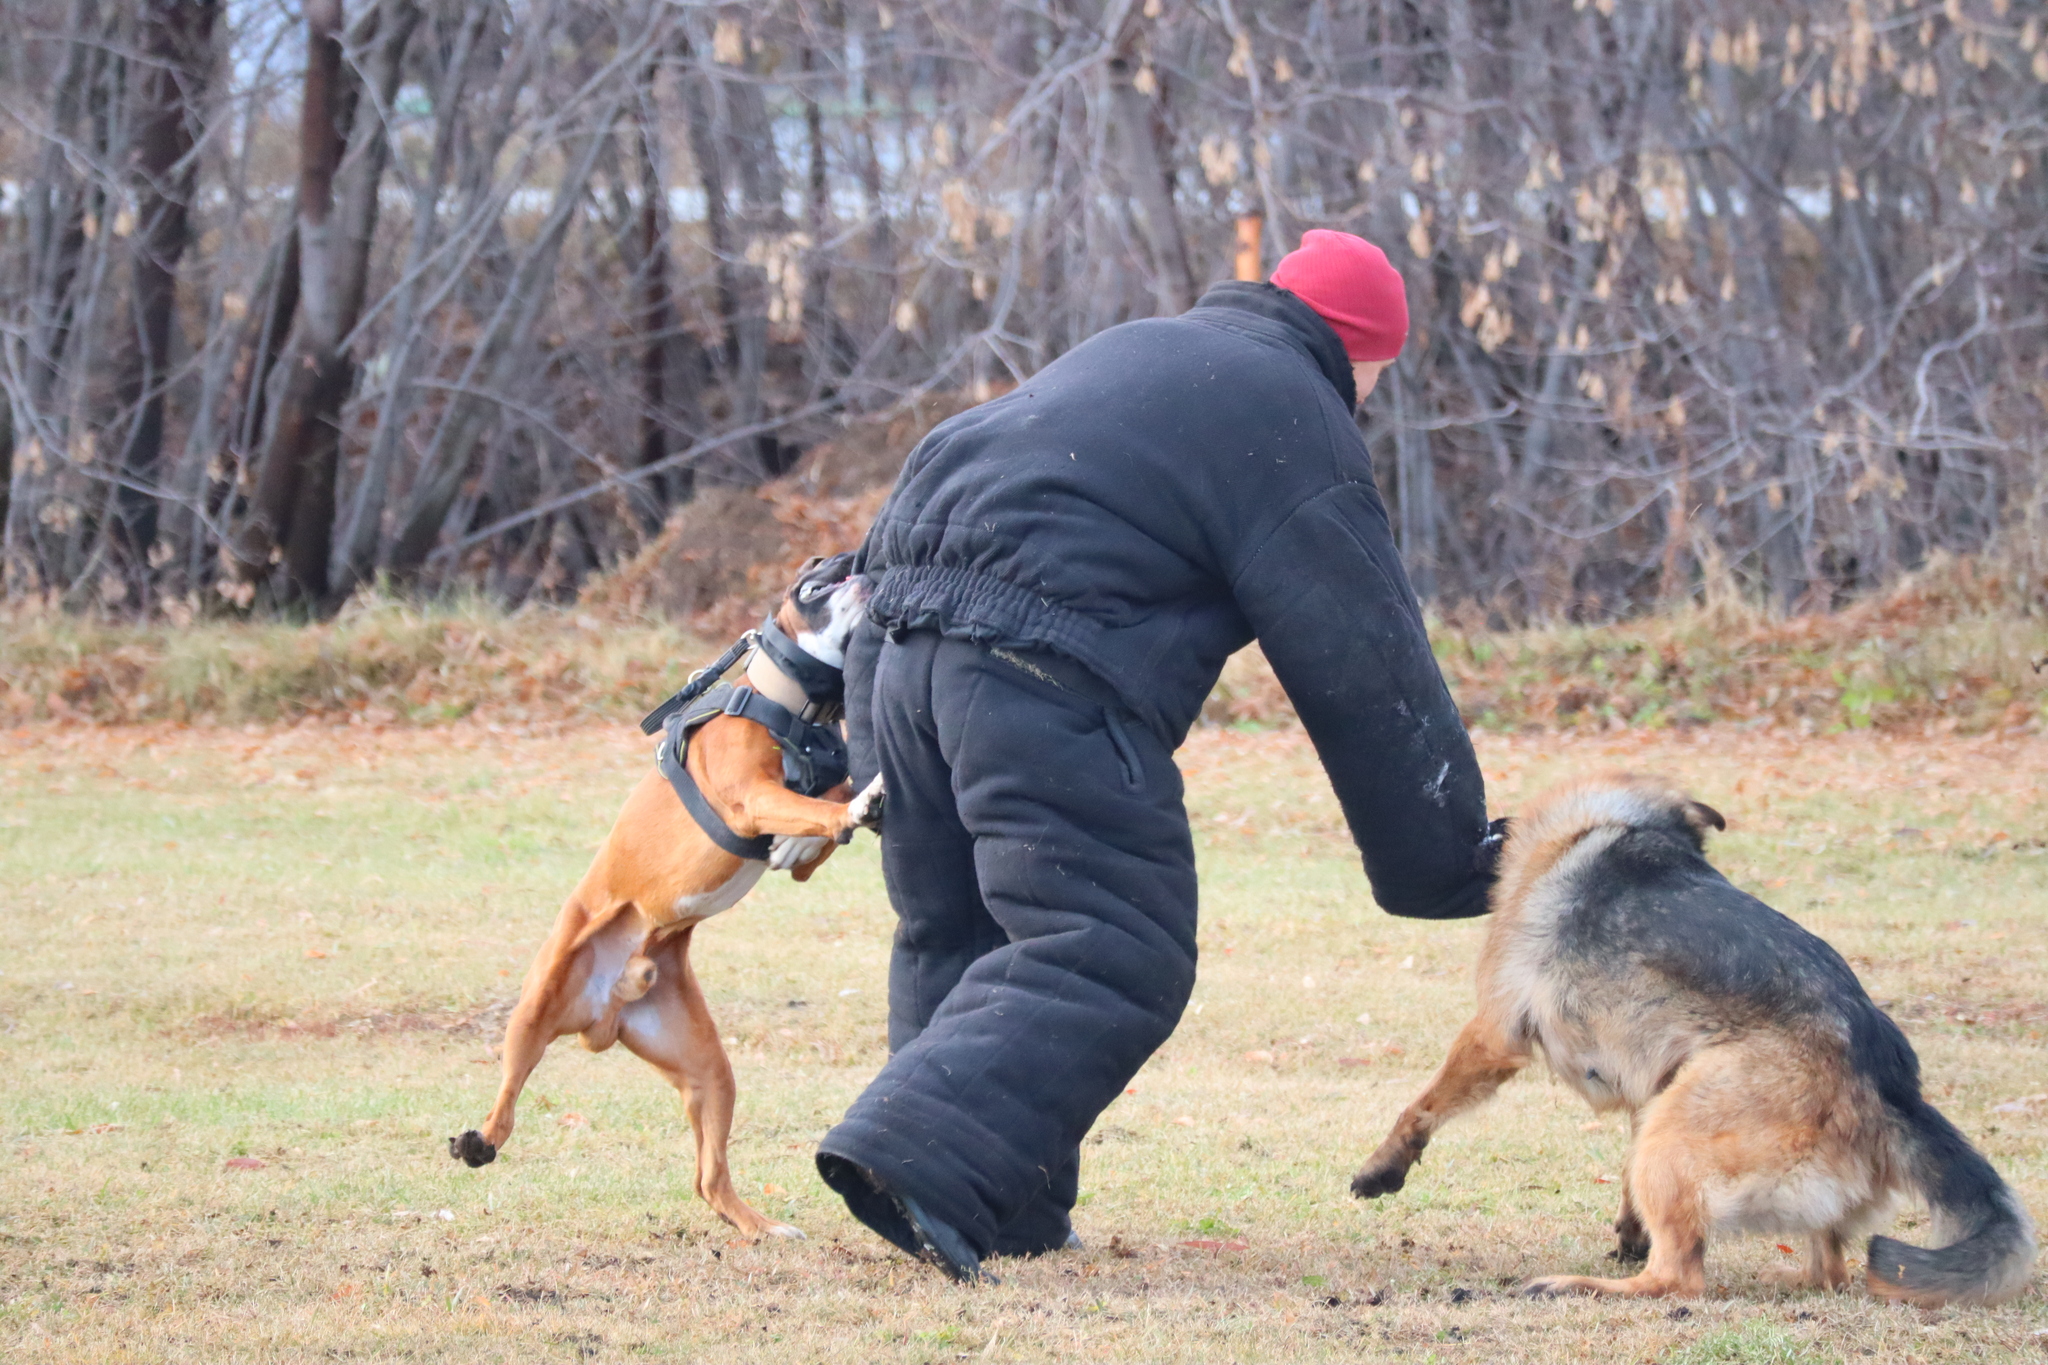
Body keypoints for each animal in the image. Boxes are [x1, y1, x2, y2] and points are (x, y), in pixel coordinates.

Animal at [450, 556, 880, 1236]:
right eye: (815, 572)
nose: (843, 557)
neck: (795, 707)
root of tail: (606, 1010)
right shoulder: (750, 796)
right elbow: (813, 805)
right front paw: (849, 810)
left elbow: (819, 813)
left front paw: (807, 836)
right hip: (535, 1009)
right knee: (509, 1097)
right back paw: (480, 1141)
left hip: (709, 1073)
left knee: (709, 1179)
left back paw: (761, 1229)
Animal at [1343, 773, 2031, 1309]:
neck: (1620, 824)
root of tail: (1888, 1083)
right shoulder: (1648, 1075)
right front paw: (1629, 1229)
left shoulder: (1494, 1031)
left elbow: (1422, 1103)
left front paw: (1384, 1167)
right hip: (1681, 1108)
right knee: (1827, 1271)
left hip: (1673, 1134)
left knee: (1679, 1280)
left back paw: (1577, 1286)